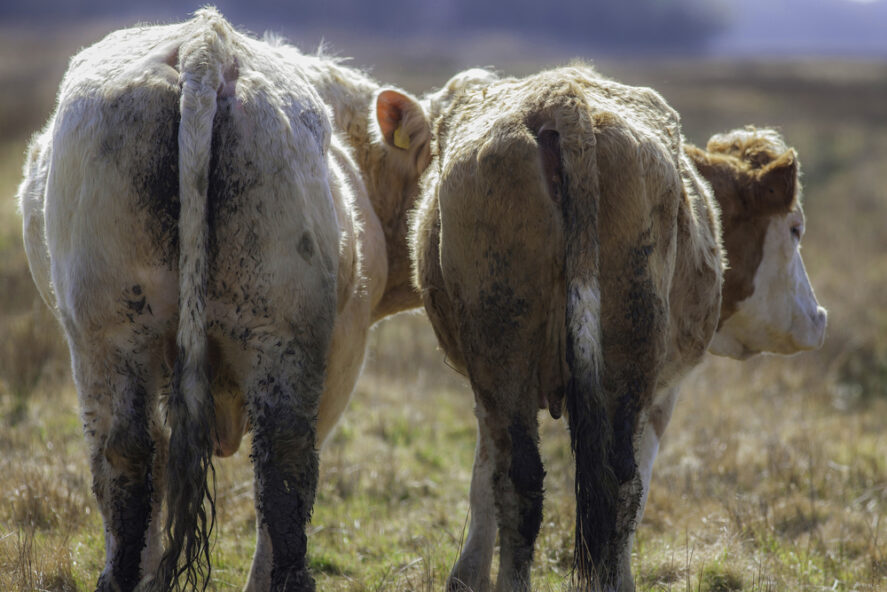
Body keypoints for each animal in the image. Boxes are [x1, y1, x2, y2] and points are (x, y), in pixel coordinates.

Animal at [17, 8, 431, 591]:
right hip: (282, 339)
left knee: (128, 459)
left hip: (111, 336)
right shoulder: (345, 351)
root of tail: (205, 44)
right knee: (284, 466)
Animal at [410, 66, 827, 591]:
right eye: (795, 228)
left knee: (526, 480)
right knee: (619, 484)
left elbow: (484, 479)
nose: (819, 318)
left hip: (503, 349)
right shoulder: (665, 392)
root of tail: (565, 103)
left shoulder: (487, 393)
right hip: (625, 356)